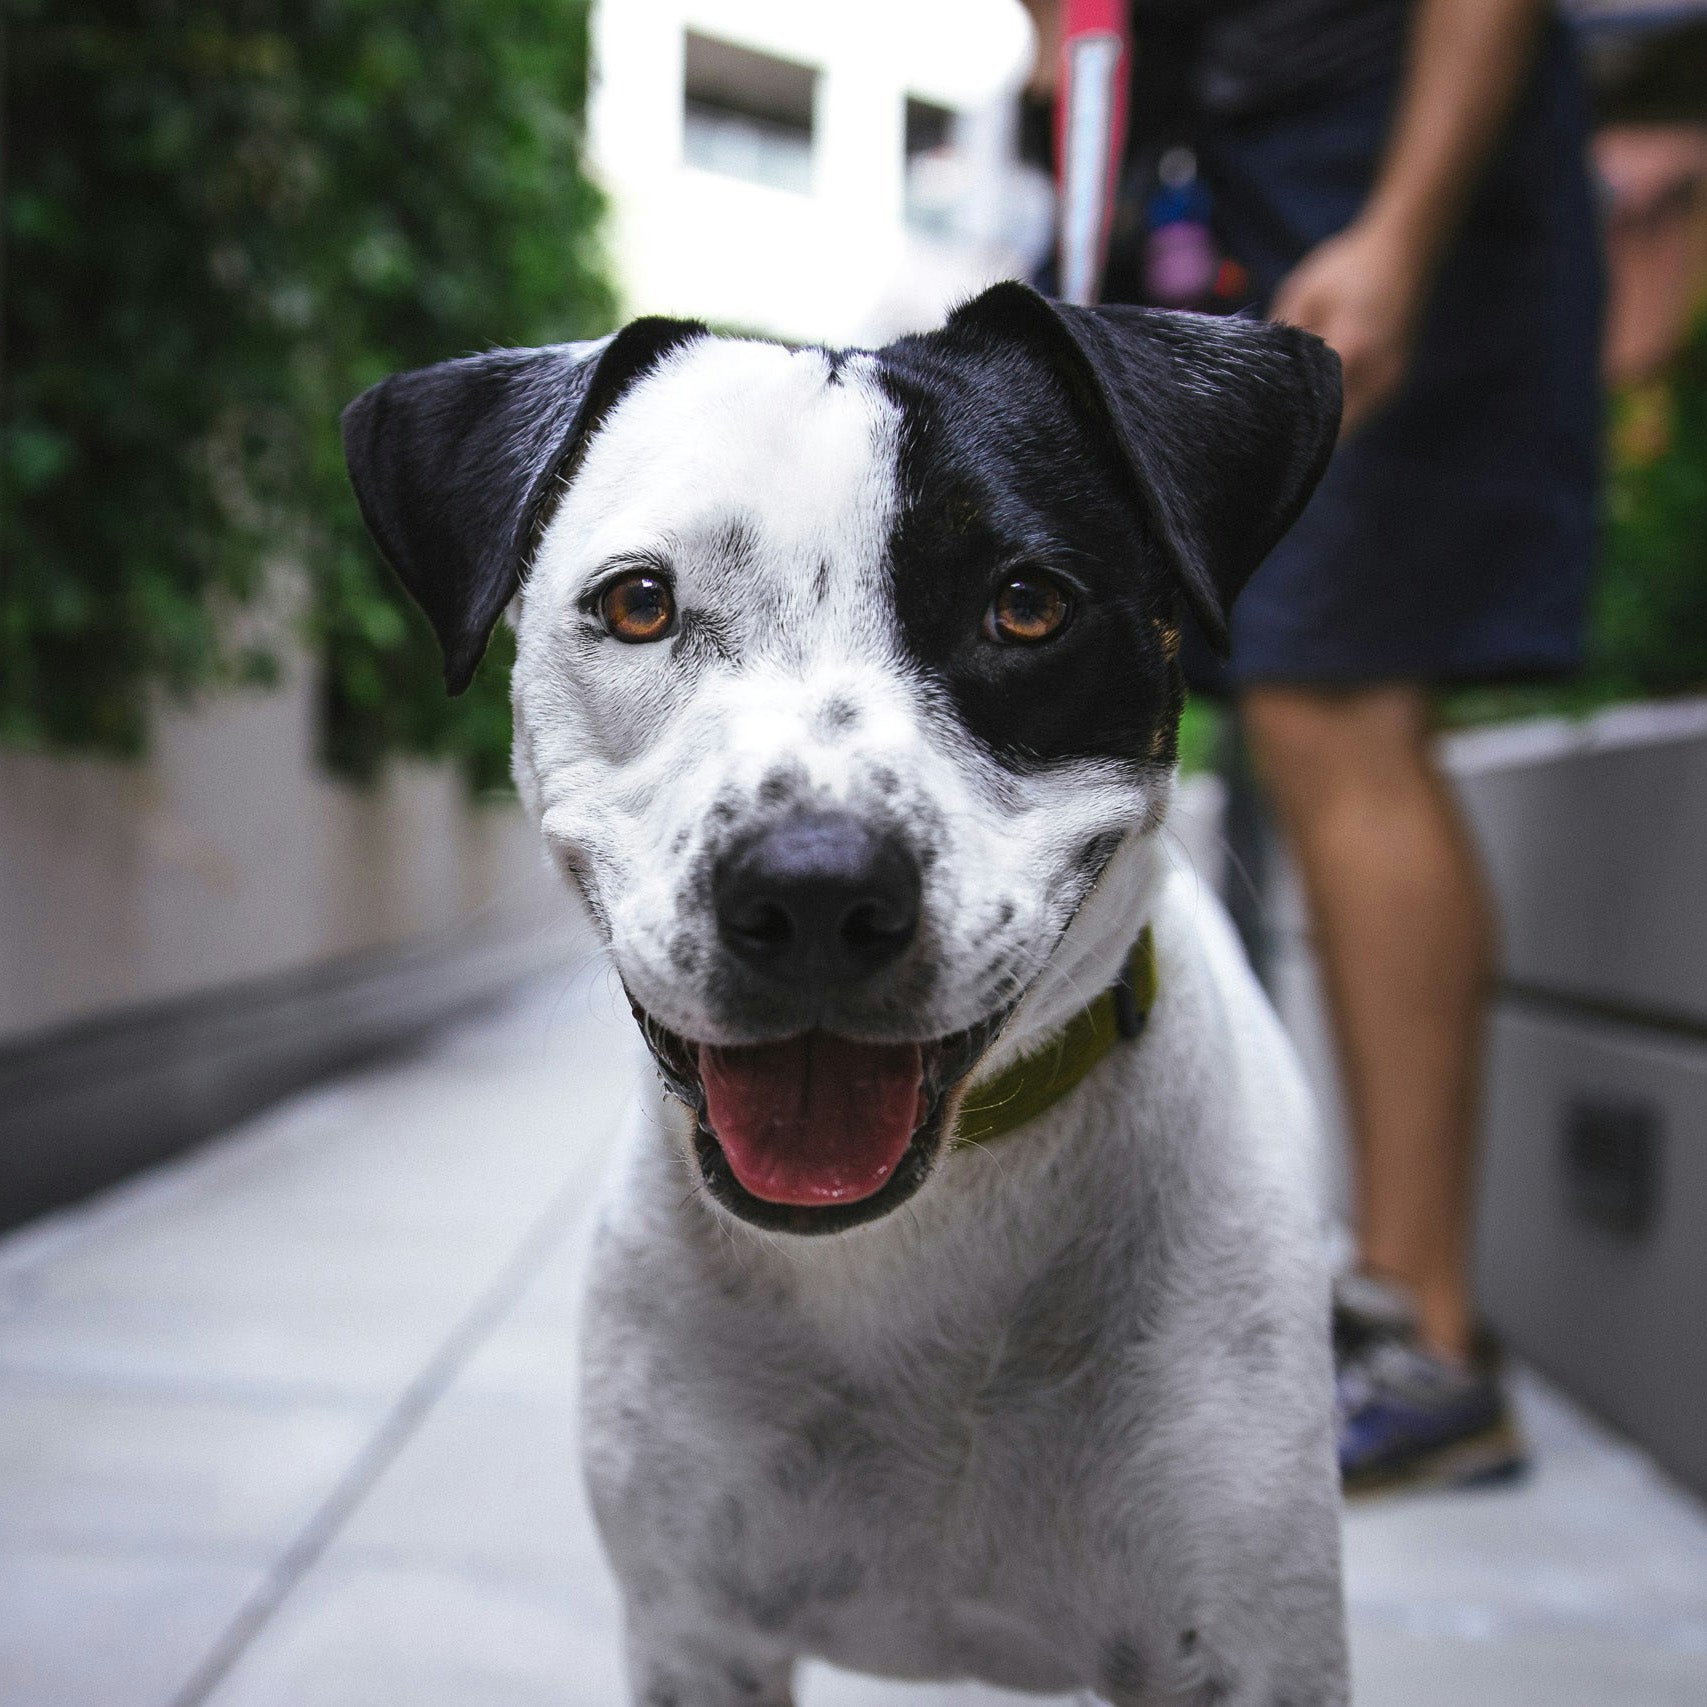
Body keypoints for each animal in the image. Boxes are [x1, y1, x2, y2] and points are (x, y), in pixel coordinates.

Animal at [343, 286, 1345, 1700]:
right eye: (639, 604)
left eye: (1027, 606)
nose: (814, 890)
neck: (914, 1247)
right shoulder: (697, 1635)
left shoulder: (1251, 1647)